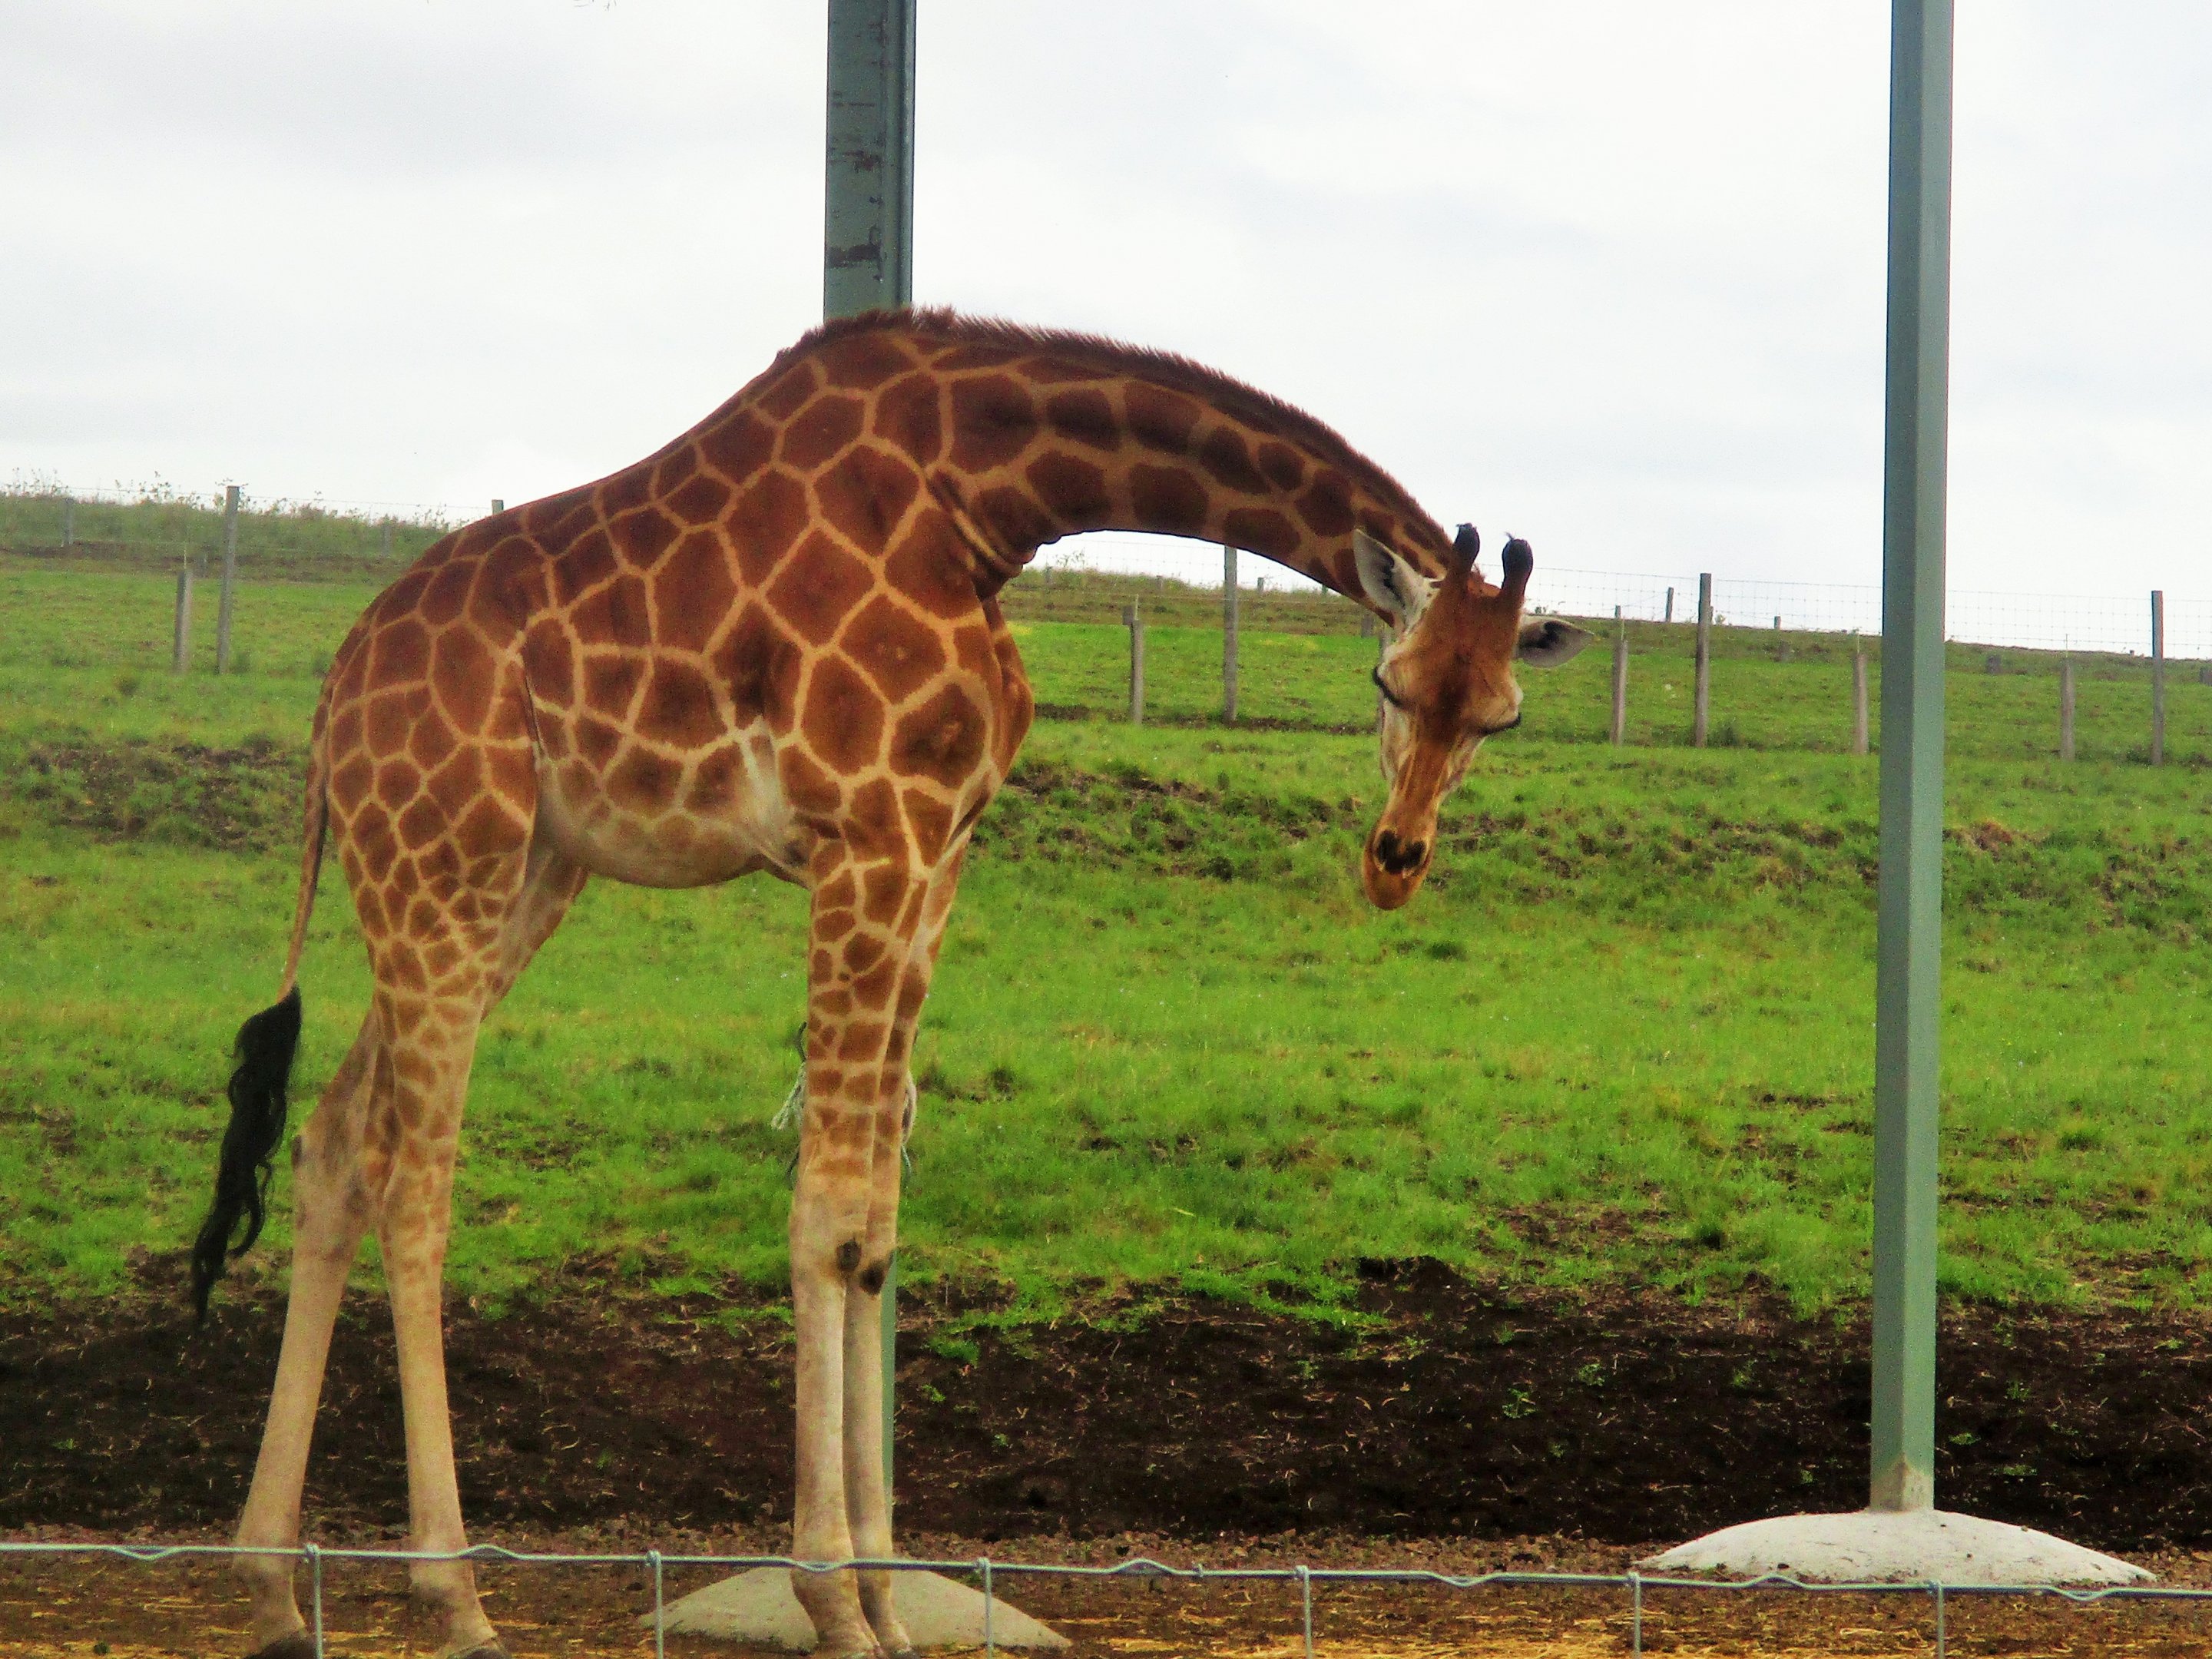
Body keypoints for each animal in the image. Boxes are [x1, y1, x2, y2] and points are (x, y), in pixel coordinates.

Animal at [187, 308, 1591, 1659]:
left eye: (1503, 717)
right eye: (1386, 682)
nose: (1396, 862)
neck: (983, 501)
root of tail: (332, 696)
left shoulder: (938, 849)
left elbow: (878, 1217)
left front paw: (883, 1601)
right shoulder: (870, 833)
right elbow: (828, 1210)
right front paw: (831, 1601)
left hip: (521, 875)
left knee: (334, 1142)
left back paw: (271, 1591)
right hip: (447, 862)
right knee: (415, 1179)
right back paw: (455, 1598)